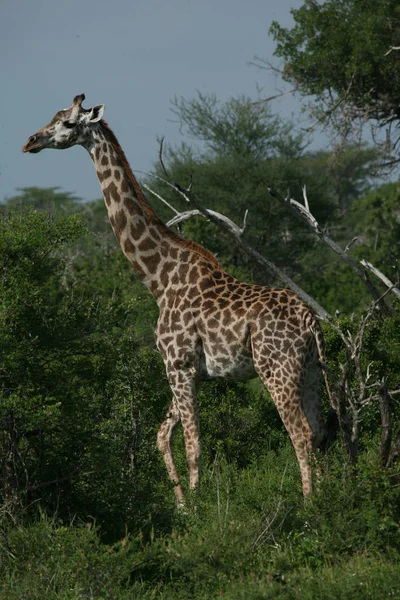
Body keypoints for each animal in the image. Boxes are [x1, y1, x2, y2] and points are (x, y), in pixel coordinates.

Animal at [25, 94, 330, 504]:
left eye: (69, 123)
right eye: (53, 117)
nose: (31, 142)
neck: (158, 279)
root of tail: (310, 320)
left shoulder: (178, 365)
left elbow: (192, 443)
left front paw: (199, 508)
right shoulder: (190, 372)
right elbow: (161, 437)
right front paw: (182, 505)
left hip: (276, 369)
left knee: (300, 433)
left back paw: (309, 506)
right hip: (311, 370)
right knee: (321, 431)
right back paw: (333, 497)